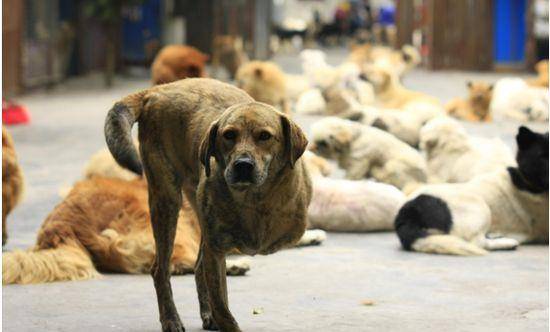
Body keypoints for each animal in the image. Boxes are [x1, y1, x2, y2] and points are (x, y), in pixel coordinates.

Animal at [103, 78, 310, 332]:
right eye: (229, 135)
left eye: (264, 136)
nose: (243, 165)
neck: (253, 199)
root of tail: (158, 90)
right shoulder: (217, 248)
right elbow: (222, 306)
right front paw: (224, 320)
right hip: (167, 201)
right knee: (161, 269)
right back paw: (171, 319)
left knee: (198, 264)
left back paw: (205, 314)